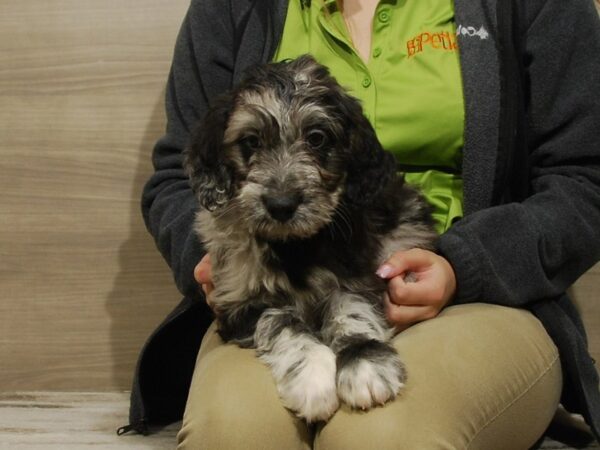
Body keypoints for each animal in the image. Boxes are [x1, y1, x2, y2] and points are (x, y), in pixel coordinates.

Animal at [183, 54, 436, 424]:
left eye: (316, 138)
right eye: (251, 141)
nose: (281, 205)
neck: (294, 246)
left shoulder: (357, 274)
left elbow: (352, 310)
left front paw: (364, 364)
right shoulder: (240, 299)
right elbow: (282, 324)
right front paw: (313, 378)